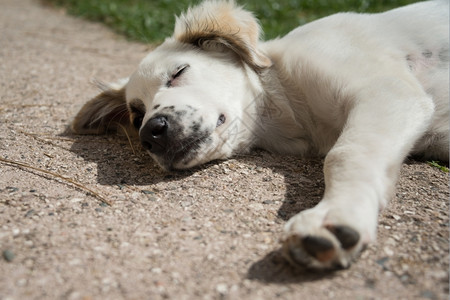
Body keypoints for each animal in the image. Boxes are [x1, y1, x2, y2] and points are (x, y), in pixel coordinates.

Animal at [72, 0, 448, 270]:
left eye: (178, 71)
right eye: (136, 115)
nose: (152, 132)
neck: (288, 107)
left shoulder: (388, 91)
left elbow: (346, 154)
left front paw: (336, 217)